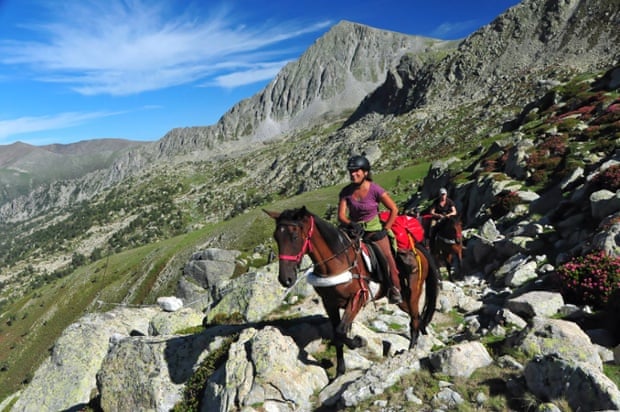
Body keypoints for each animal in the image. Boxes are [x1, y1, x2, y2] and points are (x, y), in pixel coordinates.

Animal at [264, 206, 438, 376]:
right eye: (276, 237)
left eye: (294, 236)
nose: (285, 279)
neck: (337, 264)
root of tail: (418, 248)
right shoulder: (330, 304)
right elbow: (337, 335)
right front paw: (340, 371)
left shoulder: (357, 298)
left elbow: (341, 331)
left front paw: (359, 342)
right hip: (402, 299)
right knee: (416, 316)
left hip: (413, 292)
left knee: (414, 319)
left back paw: (412, 349)